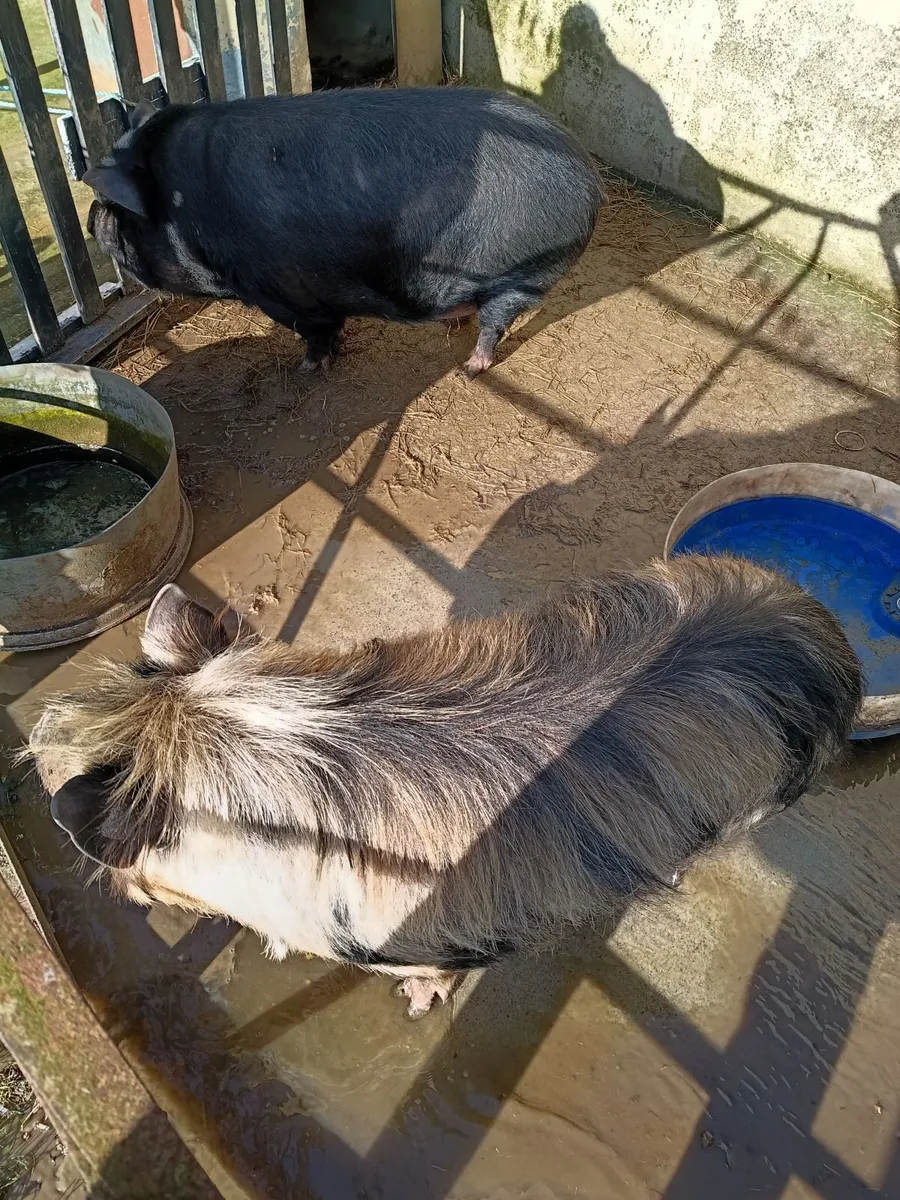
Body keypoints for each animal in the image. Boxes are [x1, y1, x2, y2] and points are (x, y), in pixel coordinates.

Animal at [83, 88, 605, 376]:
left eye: (117, 209)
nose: (92, 217)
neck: (188, 209)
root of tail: (589, 176)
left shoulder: (288, 292)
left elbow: (316, 332)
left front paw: (307, 370)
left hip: (522, 276)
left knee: (496, 324)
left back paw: (469, 370)